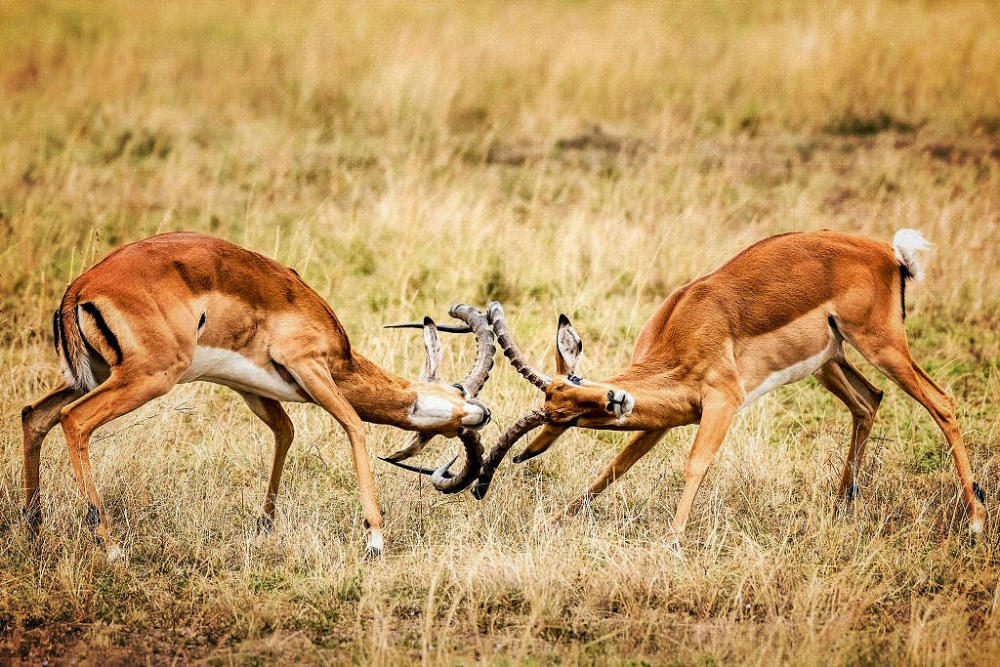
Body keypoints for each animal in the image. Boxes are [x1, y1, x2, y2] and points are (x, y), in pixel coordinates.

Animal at [20, 232, 496, 556]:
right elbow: (354, 426)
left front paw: (264, 524)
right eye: (457, 394)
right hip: (146, 377)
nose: (484, 413)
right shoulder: (310, 366)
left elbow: (285, 432)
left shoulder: (251, 387)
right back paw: (110, 546)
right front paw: (375, 539)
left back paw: (33, 529)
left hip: (91, 377)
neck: (338, 353)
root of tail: (80, 289)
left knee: (34, 415)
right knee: (74, 420)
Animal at [394, 230, 988, 536]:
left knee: (943, 403)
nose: (614, 396)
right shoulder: (662, 419)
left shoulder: (724, 401)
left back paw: (978, 521)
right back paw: (843, 506)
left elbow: (695, 464)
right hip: (831, 359)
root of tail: (889, 253)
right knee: (869, 401)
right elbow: (613, 468)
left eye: (578, 385)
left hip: (881, 343)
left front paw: (675, 541)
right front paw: (565, 517)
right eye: (562, 411)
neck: (681, 336)